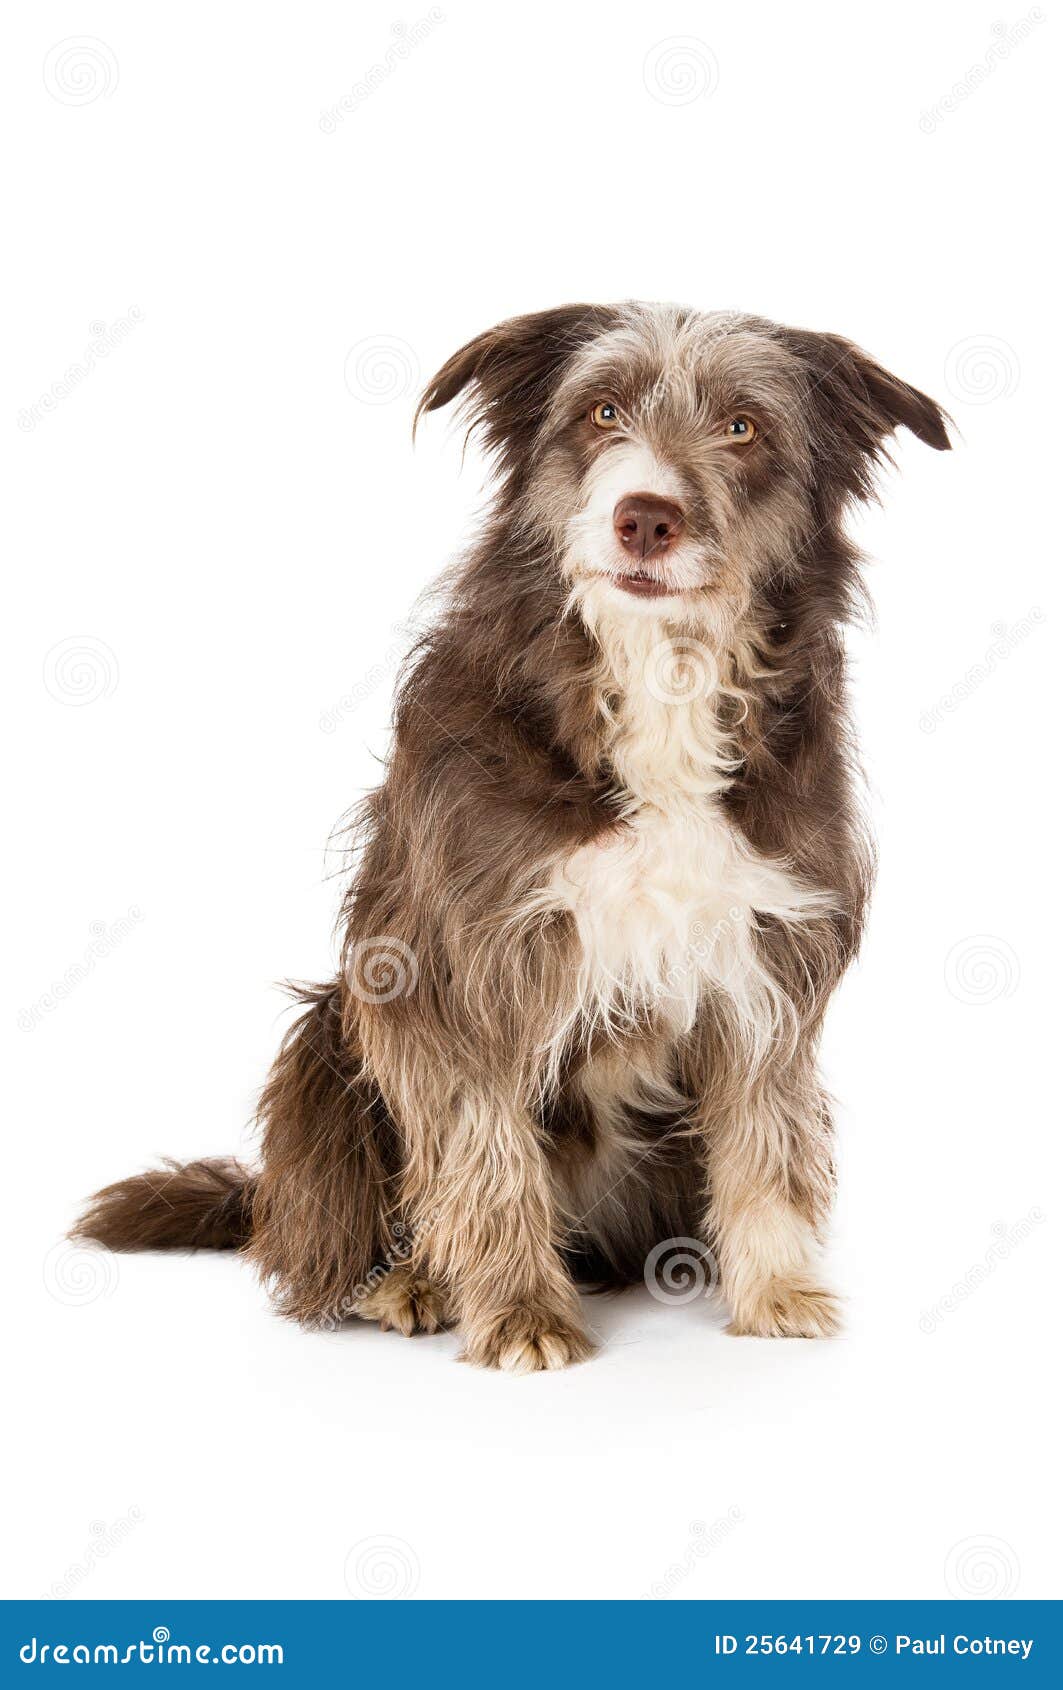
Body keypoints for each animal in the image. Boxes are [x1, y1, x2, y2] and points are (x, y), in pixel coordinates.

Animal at [76, 304, 953, 1365]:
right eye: (602, 410)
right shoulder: (458, 966)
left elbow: (766, 1133)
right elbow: (482, 1149)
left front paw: (776, 1288)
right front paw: (519, 1310)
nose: (644, 516)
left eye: (743, 427)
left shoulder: (769, 957)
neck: (657, 682)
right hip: (328, 1039)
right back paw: (407, 1278)